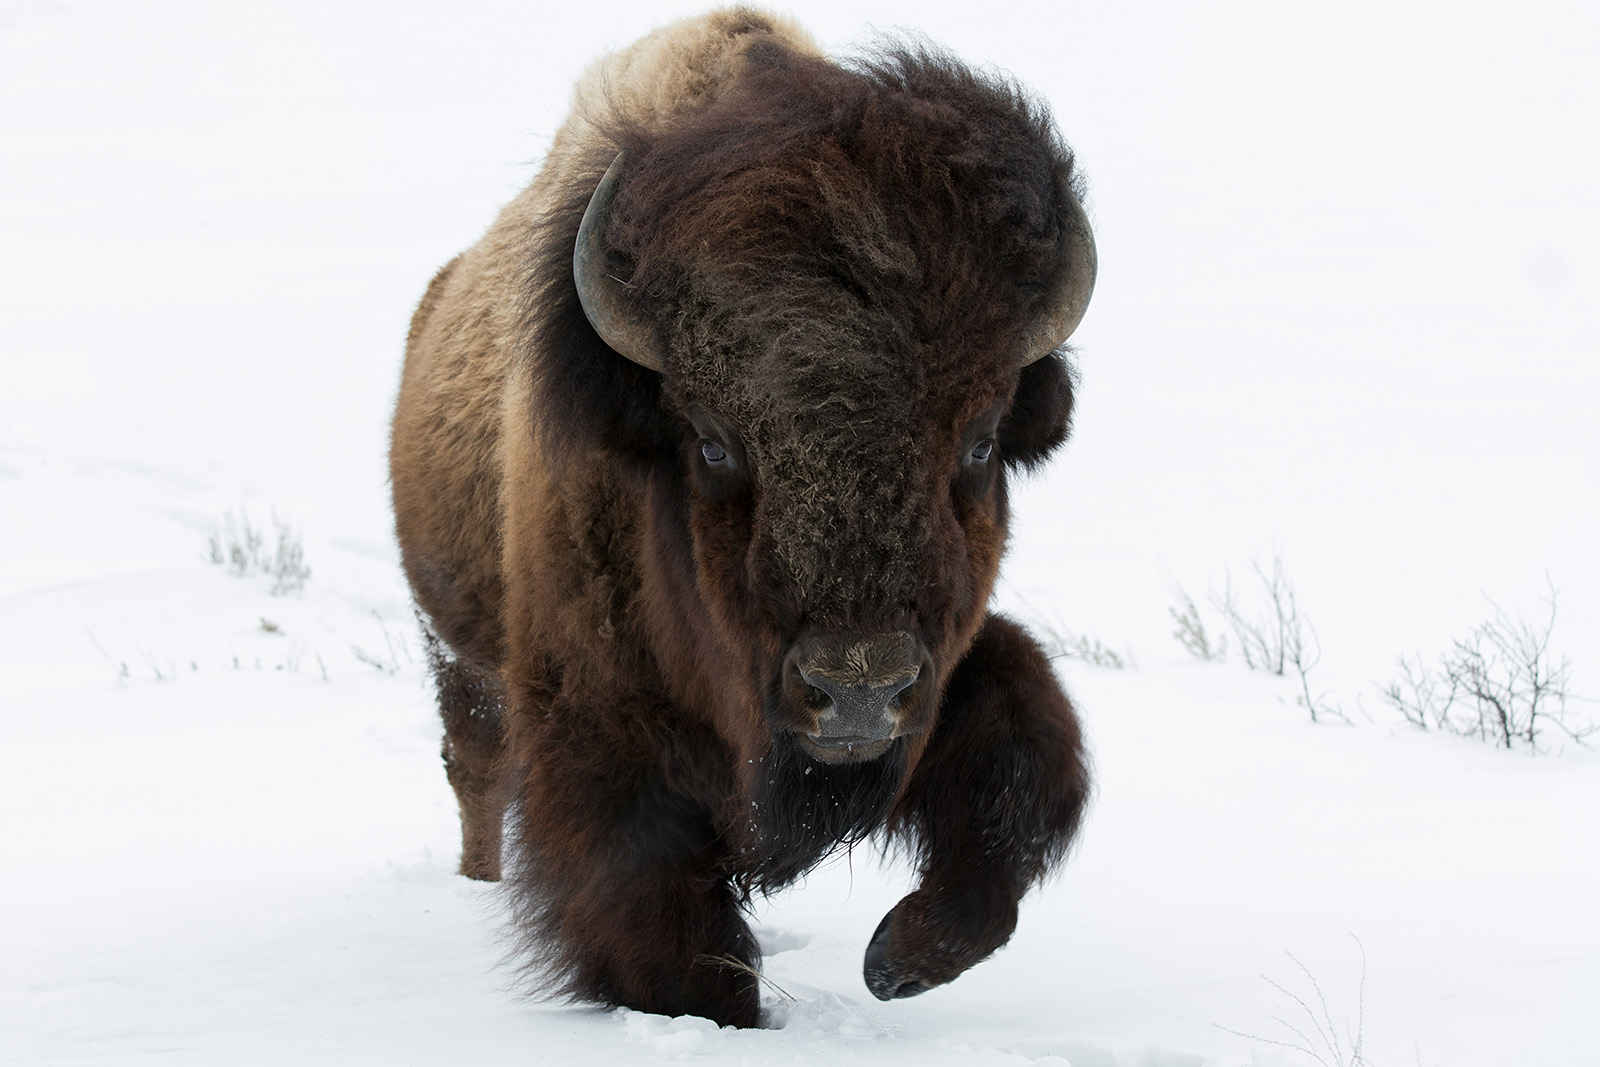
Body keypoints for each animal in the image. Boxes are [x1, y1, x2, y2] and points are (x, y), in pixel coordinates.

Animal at [389, 7, 1096, 1028]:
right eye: (714, 443)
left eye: (978, 437)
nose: (856, 688)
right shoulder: (600, 734)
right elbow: (673, 939)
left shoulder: (942, 682)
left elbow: (1027, 742)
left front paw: (902, 957)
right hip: (457, 653)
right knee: (475, 770)